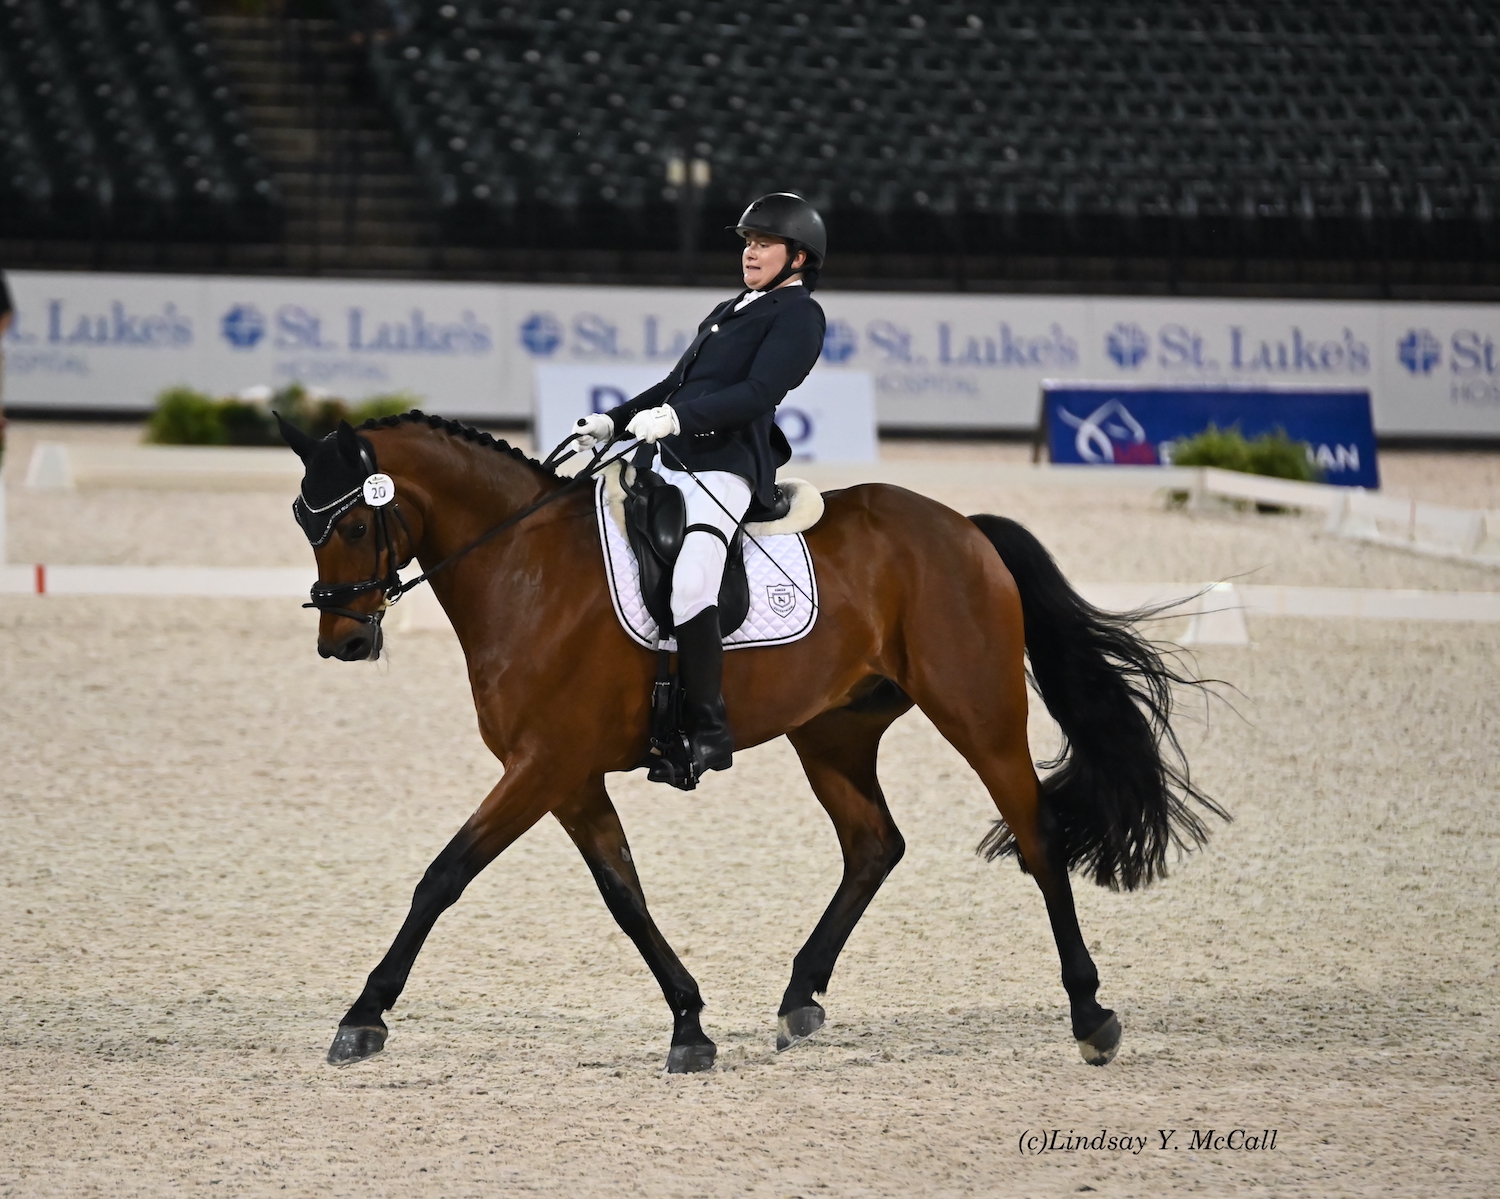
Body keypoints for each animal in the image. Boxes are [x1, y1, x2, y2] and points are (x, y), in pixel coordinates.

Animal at [286, 414, 1224, 1080]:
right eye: (305, 522)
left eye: (354, 527)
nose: (342, 641)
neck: (526, 566)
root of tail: (964, 525)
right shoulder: (569, 776)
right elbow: (624, 894)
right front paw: (690, 1024)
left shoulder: (542, 765)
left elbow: (443, 875)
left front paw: (363, 1016)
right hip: (833, 730)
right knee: (874, 844)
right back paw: (800, 997)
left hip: (980, 713)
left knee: (1037, 839)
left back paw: (1091, 1017)